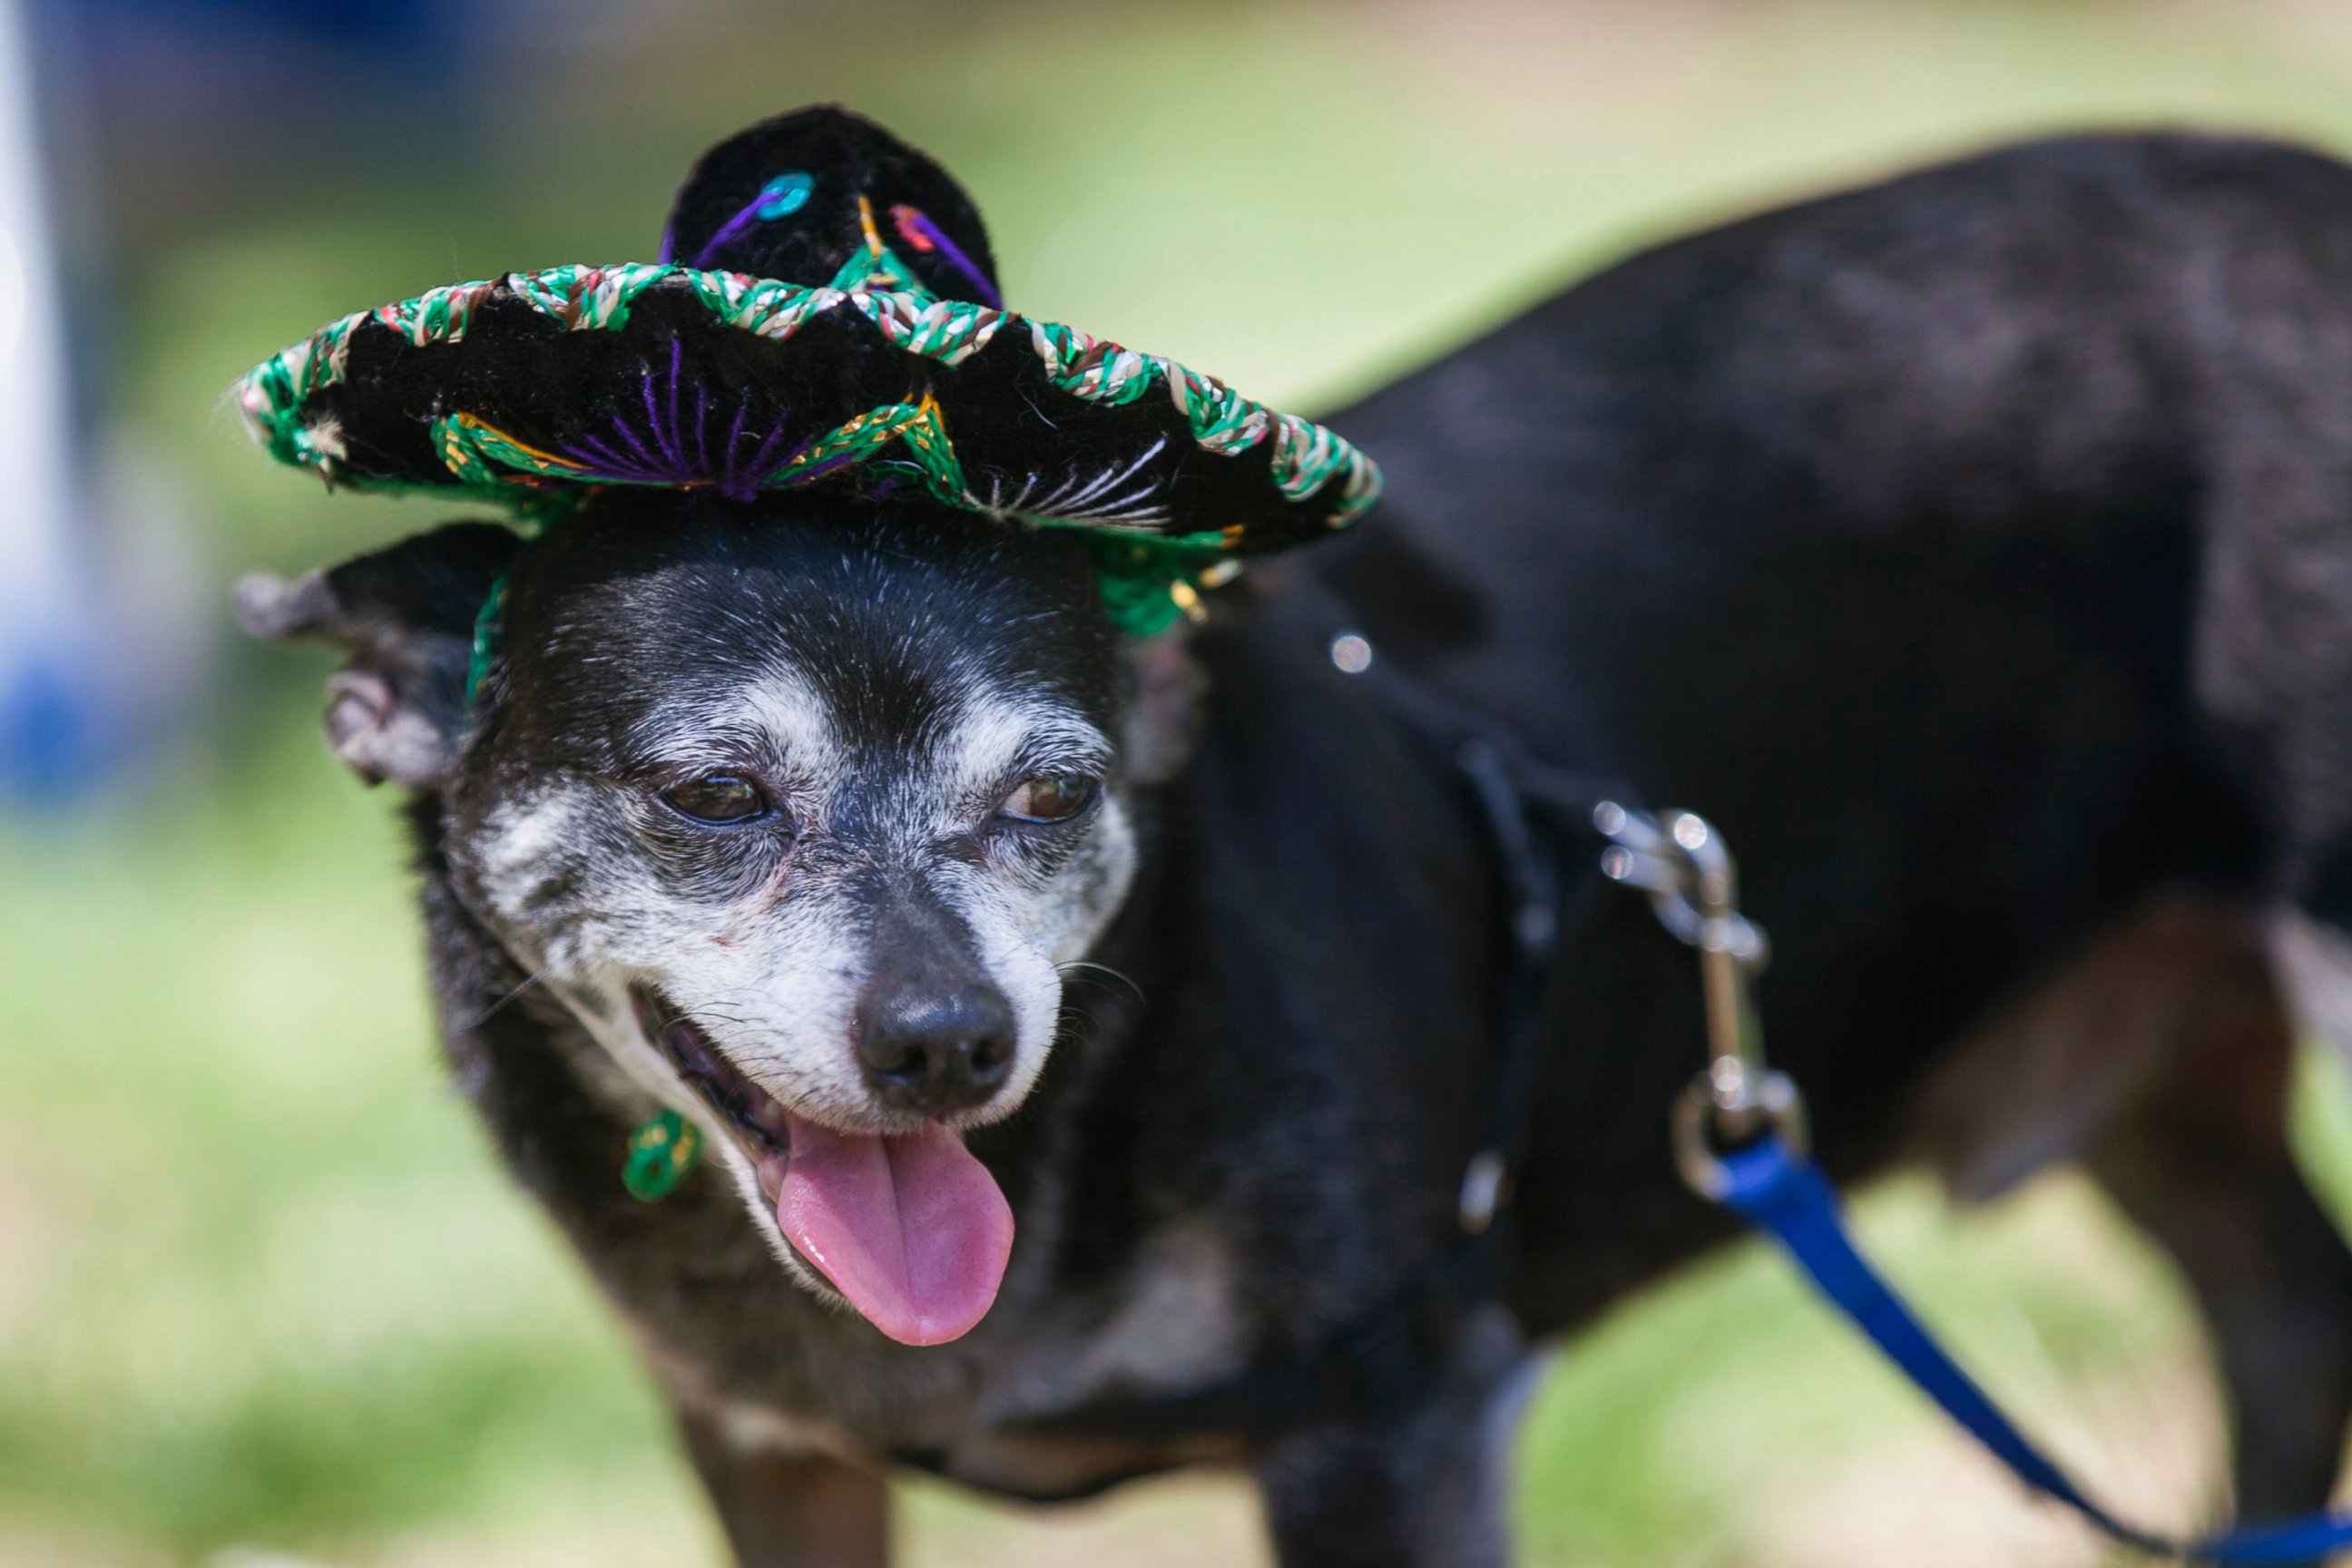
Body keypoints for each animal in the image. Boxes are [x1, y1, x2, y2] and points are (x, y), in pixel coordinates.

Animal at [243, 125, 2352, 1568]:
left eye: (1053, 796)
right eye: (712, 798)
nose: (948, 1044)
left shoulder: (1386, 1430)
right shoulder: (770, 1455)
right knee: (2287, 1319)